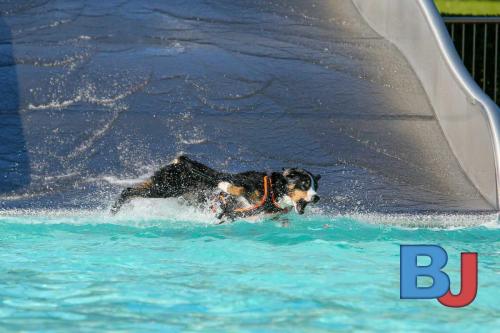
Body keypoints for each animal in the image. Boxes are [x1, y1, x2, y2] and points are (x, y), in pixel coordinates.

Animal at [110, 156, 320, 220]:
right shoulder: (245, 183)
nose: (317, 198)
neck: (275, 191)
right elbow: (235, 187)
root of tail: (180, 161)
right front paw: (223, 184)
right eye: (304, 184)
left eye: (315, 186)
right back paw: (113, 211)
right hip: (165, 188)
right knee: (128, 191)